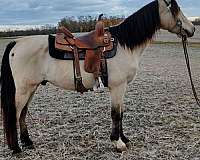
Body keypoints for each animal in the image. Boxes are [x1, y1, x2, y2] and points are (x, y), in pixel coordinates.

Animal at [0, 0, 195, 154]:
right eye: (176, 8)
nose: (192, 29)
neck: (124, 44)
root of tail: (16, 42)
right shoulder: (117, 87)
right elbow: (115, 114)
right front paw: (118, 143)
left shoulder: (121, 88)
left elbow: (121, 113)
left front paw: (124, 138)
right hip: (23, 90)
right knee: (14, 114)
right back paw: (16, 148)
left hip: (31, 88)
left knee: (22, 114)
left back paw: (28, 142)